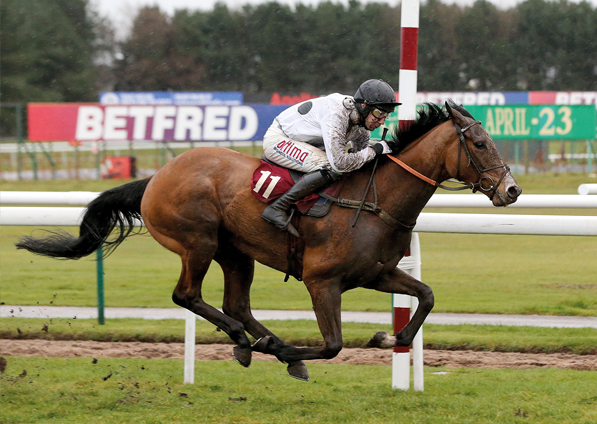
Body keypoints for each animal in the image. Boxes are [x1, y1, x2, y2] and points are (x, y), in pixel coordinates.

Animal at [16, 102, 520, 380]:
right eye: (479, 143)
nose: (511, 190)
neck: (376, 200)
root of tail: (156, 177)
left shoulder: (377, 274)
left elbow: (427, 295)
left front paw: (388, 337)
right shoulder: (322, 281)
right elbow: (333, 344)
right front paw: (293, 351)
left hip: (236, 253)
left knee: (236, 304)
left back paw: (260, 342)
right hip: (197, 242)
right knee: (188, 295)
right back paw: (254, 343)